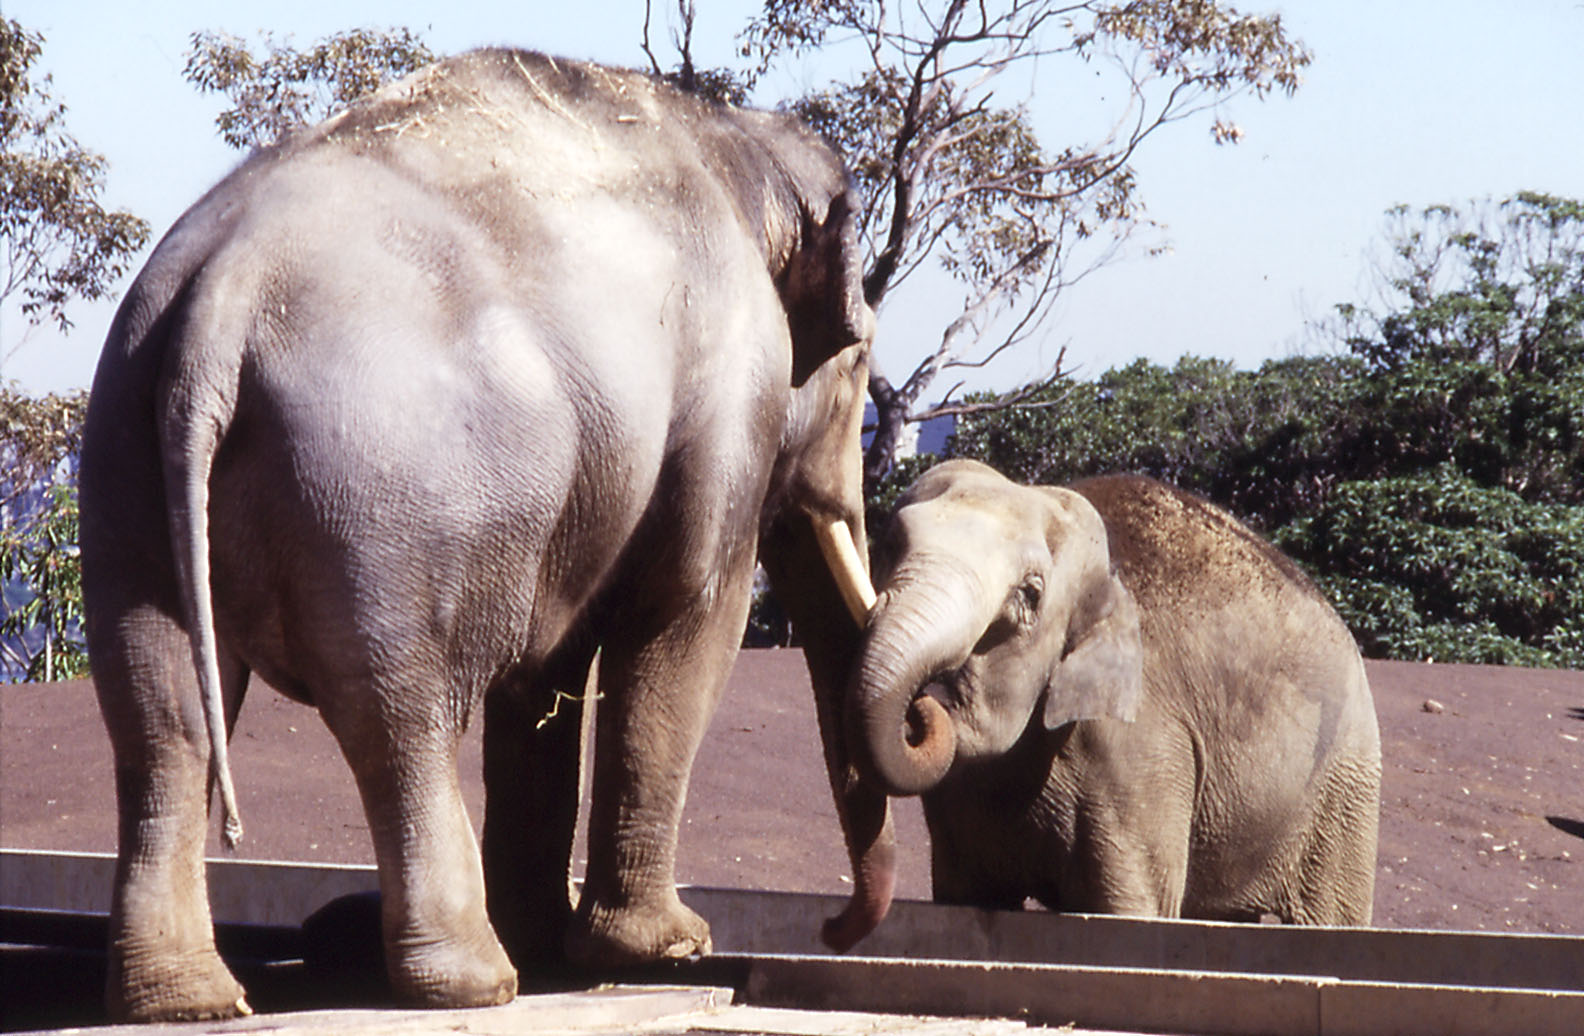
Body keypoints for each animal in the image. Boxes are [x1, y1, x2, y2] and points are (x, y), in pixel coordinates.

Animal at [79, 49, 894, 1022]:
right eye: (859, 358)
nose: (834, 931)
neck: (738, 143)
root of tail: (221, 300)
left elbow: (545, 680)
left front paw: (554, 938)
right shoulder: (730, 399)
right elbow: (687, 615)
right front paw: (665, 946)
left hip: (125, 456)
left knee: (158, 712)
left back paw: (186, 1000)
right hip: (382, 502)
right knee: (398, 712)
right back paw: (475, 981)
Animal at [849, 460, 1380, 926]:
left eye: (1030, 594)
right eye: (889, 545)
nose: (926, 700)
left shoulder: (1138, 749)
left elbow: (1129, 905)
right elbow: (968, 897)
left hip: (1344, 785)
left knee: (1331, 914)